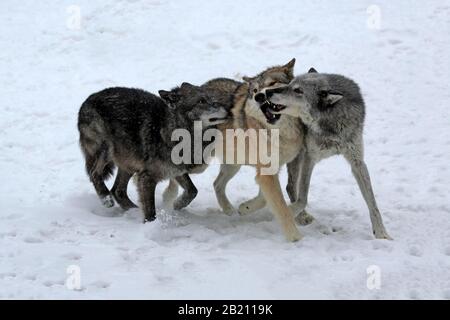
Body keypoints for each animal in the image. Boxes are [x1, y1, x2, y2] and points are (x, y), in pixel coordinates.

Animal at [77, 83, 229, 222]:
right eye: (201, 101)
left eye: (212, 98)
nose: (228, 109)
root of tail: (88, 100)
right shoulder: (147, 178)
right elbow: (150, 212)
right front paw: (150, 225)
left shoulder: (175, 170)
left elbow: (192, 191)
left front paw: (177, 204)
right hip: (107, 149)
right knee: (95, 173)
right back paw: (106, 198)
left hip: (128, 163)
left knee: (118, 190)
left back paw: (133, 211)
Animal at [266, 70, 392, 240]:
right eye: (290, 84)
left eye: (298, 90)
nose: (268, 92)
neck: (332, 123)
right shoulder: (310, 157)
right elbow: (303, 198)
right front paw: (289, 211)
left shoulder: (357, 162)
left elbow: (373, 203)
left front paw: (381, 233)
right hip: (298, 155)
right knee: (290, 186)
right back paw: (301, 216)